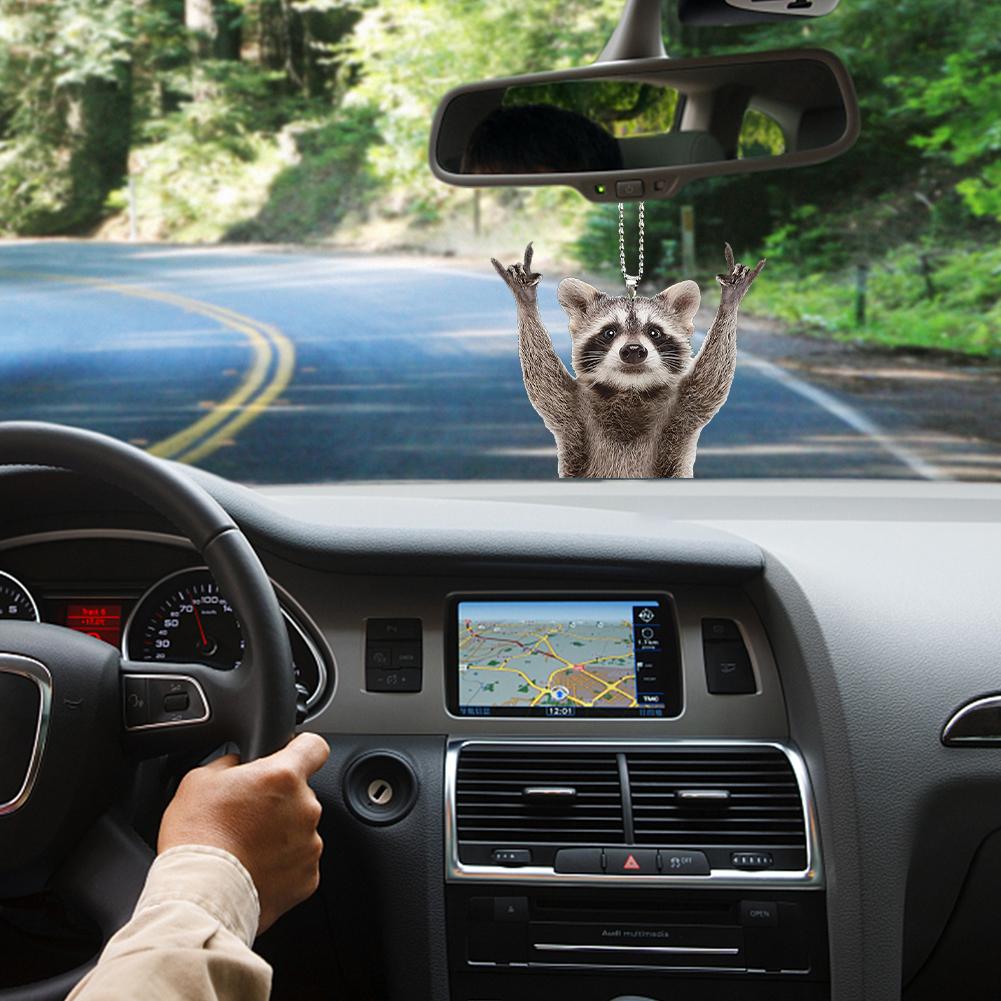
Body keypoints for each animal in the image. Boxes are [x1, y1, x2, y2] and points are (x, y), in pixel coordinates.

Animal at [492, 243, 765, 478]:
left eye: (654, 332)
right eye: (609, 332)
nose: (633, 350)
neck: (630, 388)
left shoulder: (683, 409)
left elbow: (711, 380)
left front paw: (729, 301)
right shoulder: (573, 409)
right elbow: (543, 382)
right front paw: (526, 302)